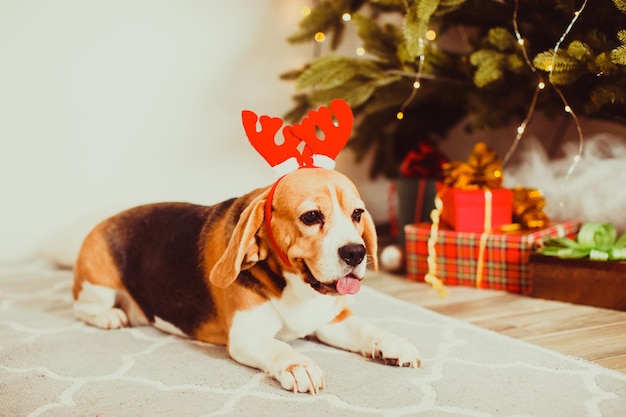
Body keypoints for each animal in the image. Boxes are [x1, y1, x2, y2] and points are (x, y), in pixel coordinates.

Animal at [72, 102, 420, 392]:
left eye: (357, 213)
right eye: (311, 216)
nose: (355, 253)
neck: (298, 288)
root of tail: (101, 222)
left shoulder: (331, 321)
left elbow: (366, 329)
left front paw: (394, 342)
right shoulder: (246, 335)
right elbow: (279, 346)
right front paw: (299, 365)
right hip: (98, 286)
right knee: (80, 308)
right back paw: (109, 317)